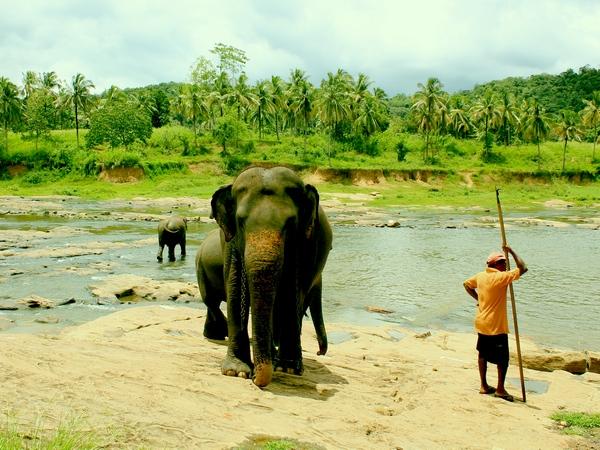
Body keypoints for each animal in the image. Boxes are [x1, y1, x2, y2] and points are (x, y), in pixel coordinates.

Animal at [199, 165, 332, 386]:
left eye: (291, 223)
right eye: (240, 222)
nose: (255, 378)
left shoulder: (307, 243)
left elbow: (291, 292)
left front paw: (287, 368)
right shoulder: (229, 241)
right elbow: (235, 287)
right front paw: (236, 372)